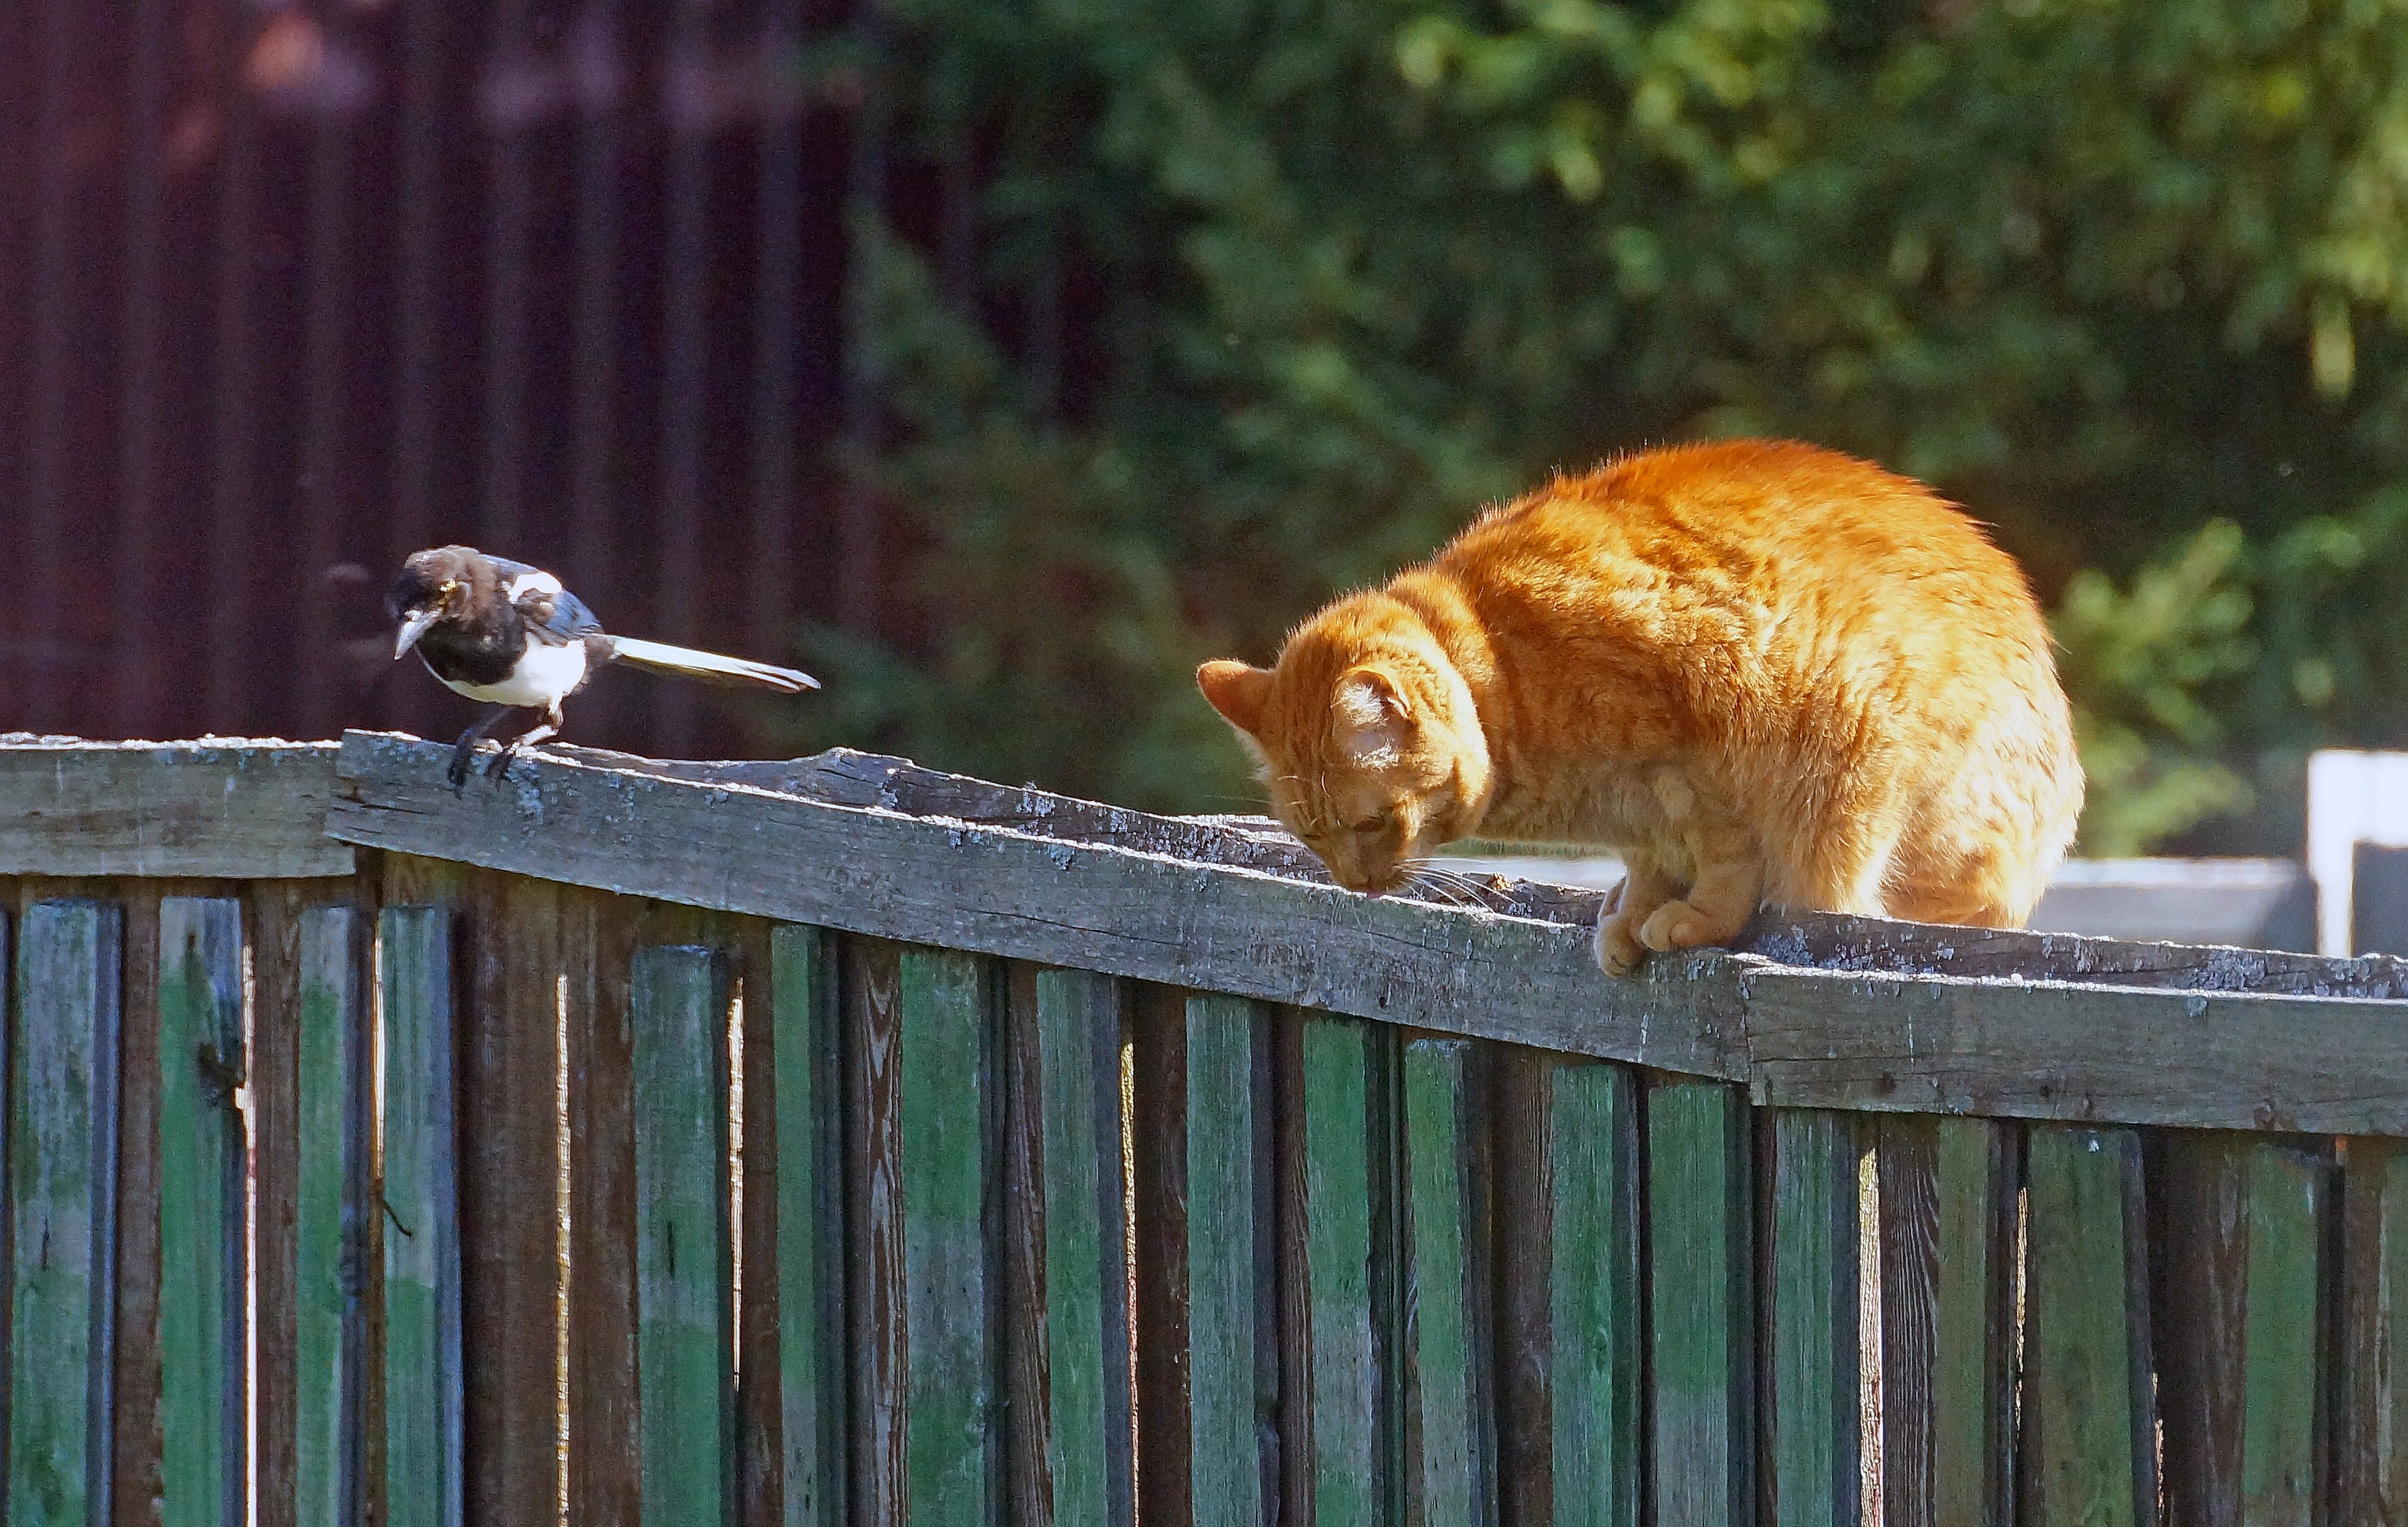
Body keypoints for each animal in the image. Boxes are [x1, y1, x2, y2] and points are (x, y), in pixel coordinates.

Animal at [1204, 433, 2090, 968]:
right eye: (1312, 837)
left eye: (1373, 824)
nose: (1356, 886)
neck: (1506, 667)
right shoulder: (1643, 814)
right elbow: (1648, 860)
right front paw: (1634, 910)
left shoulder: (1718, 749)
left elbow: (1728, 861)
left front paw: (1694, 918)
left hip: (1862, 776)